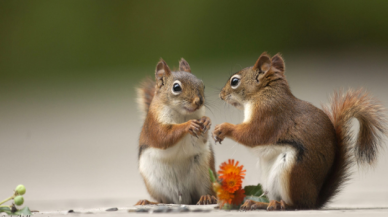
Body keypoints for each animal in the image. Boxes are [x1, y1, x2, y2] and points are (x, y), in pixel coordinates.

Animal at [135, 57, 217, 205]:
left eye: (203, 85)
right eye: (176, 87)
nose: (199, 101)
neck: (183, 114)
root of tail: (183, 198)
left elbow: (202, 138)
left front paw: (206, 120)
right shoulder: (154, 125)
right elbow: (164, 137)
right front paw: (188, 125)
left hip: (206, 173)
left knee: (206, 191)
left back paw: (207, 197)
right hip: (155, 183)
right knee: (163, 200)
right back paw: (149, 202)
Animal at [212, 52, 388, 210]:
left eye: (235, 81)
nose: (221, 95)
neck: (264, 94)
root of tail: (314, 200)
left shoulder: (269, 115)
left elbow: (253, 135)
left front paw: (223, 128)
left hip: (292, 172)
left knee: (297, 204)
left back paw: (280, 205)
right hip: (269, 180)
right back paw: (257, 203)